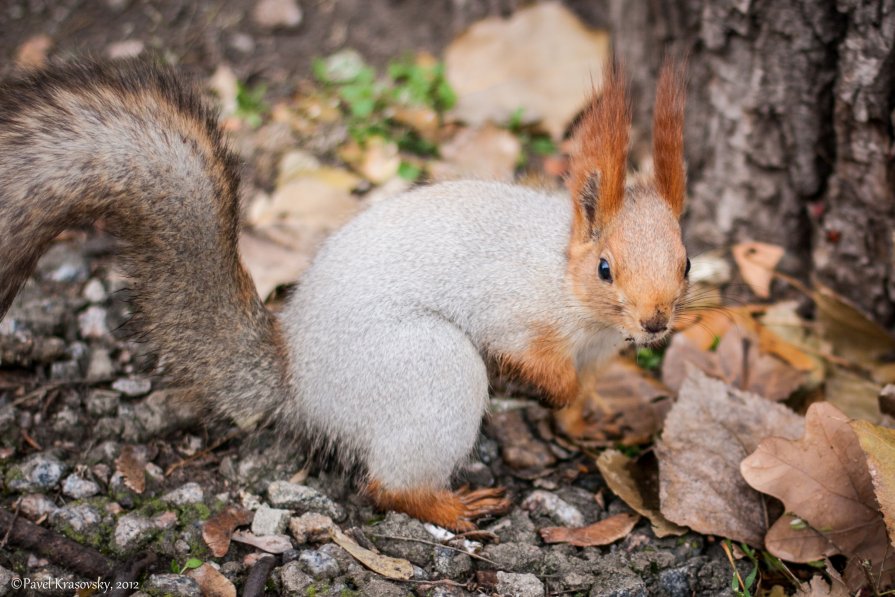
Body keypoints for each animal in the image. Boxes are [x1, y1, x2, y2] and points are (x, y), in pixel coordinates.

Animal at [0, 58, 688, 528]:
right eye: (605, 268)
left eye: (686, 263)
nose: (656, 324)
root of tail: (299, 381)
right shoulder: (517, 311)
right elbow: (531, 358)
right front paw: (557, 394)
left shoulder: (599, 351)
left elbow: (582, 395)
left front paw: (588, 418)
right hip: (428, 371)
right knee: (387, 487)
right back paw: (450, 505)